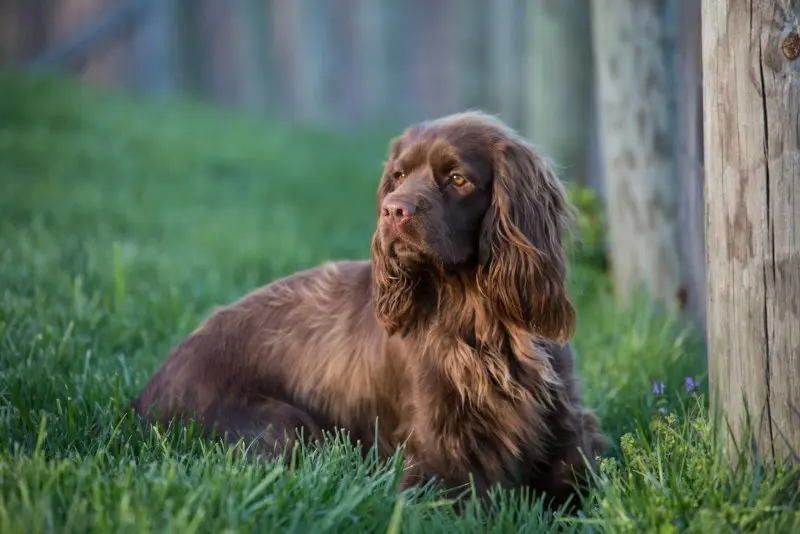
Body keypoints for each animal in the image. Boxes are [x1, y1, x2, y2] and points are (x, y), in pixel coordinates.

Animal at [133, 112, 608, 510]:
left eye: (457, 178)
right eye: (398, 176)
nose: (393, 210)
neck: (477, 314)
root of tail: (142, 399)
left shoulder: (567, 428)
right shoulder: (436, 453)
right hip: (283, 426)